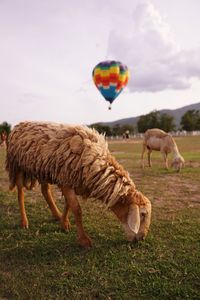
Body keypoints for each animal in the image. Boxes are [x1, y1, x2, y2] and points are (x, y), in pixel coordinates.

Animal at [5, 120, 152, 247]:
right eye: (143, 214)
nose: (142, 238)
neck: (96, 162)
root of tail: (20, 124)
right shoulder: (66, 179)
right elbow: (77, 209)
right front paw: (84, 240)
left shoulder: (70, 181)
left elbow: (68, 205)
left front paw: (64, 223)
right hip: (17, 165)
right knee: (20, 192)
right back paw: (24, 221)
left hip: (42, 167)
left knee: (45, 190)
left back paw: (56, 215)